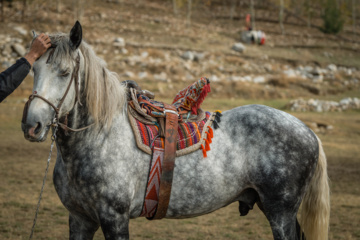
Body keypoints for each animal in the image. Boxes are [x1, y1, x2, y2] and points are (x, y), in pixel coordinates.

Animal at [21, 21, 330, 239]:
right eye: (33, 69)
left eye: (64, 72)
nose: (32, 125)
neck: (99, 136)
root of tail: (308, 131)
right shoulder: (80, 219)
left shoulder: (114, 218)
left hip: (281, 212)